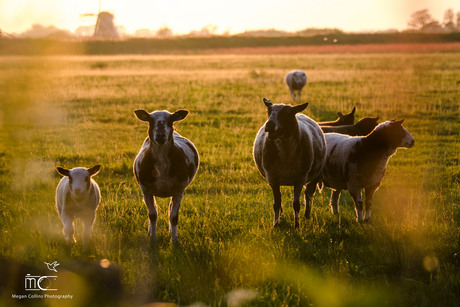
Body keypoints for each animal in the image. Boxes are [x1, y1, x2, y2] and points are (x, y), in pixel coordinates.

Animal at [132, 108, 199, 243]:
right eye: (150, 120)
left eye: (171, 120)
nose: (160, 136)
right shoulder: (146, 189)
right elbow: (152, 215)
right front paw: (153, 239)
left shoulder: (179, 189)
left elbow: (173, 216)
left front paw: (174, 240)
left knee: (169, 209)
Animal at [252, 98, 328, 229]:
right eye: (268, 111)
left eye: (287, 113)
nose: (269, 125)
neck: (286, 154)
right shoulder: (272, 178)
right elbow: (276, 203)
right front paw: (275, 224)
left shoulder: (301, 177)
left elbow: (296, 204)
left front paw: (297, 225)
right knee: (280, 200)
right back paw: (282, 215)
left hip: (315, 175)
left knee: (309, 194)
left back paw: (307, 215)